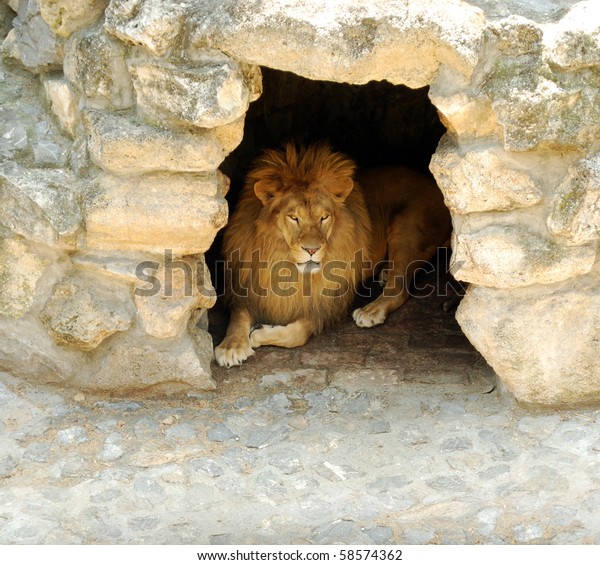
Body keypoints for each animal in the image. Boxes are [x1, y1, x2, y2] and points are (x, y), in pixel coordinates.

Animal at [214, 143, 450, 368]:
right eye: (294, 218)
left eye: (324, 217)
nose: (312, 250)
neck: (284, 263)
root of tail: (434, 185)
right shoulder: (249, 288)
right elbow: (237, 318)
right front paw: (231, 346)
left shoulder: (323, 304)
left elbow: (296, 334)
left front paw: (258, 334)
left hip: (407, 226)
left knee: (399, 288)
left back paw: (371, 311)